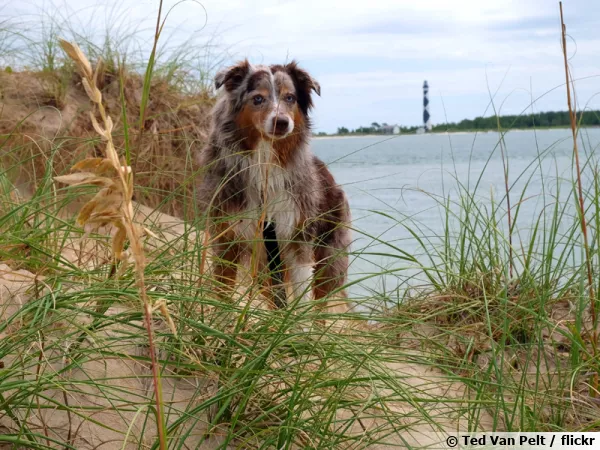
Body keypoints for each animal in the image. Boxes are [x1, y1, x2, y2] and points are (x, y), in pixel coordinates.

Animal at [197, 59, 350, 310]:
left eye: (290, 97)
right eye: (258, 98)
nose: (282, 122)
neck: (264, 162)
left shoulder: (297, 236)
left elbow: (301, 296)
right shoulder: (226, 235)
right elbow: (222, 290)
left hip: (329, 256)